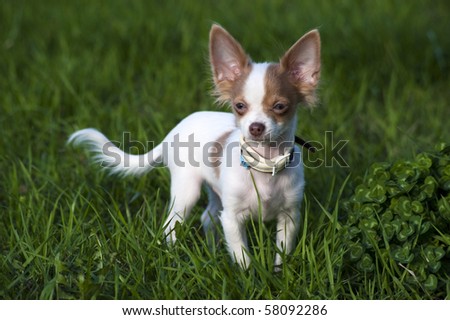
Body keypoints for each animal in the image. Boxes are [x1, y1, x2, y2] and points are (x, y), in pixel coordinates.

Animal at [68, 25, 320, 268]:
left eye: (280, 106)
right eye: (239, 106)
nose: (255, 127)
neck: (265, 164)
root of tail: (173, 132)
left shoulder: (289, 216)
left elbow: (282, 253)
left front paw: (278, 274)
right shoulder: (232, 218)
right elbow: (242, 256)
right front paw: (249, 276)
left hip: (215, 190)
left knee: (207, 217)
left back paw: (212, 251)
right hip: (186, 190)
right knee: (171, 225)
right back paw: (173, 257)